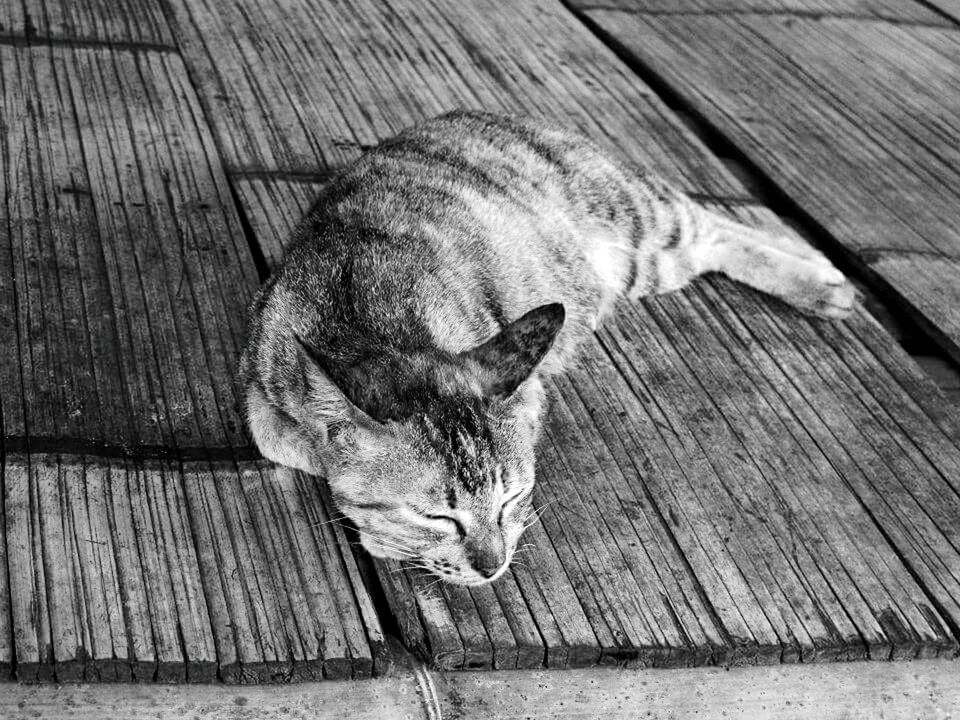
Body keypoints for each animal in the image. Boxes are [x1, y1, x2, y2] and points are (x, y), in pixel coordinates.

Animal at [240, 111, 856, 584]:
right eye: (437, 517)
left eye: (510, 499)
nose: (492, 566)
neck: (363, 314)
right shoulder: (259, 381)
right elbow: (279, 438)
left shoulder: (528, 385)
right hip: (647, 263)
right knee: (714, 239)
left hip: (637, 216)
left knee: (710, 219)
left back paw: (821, 280)